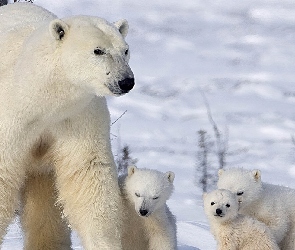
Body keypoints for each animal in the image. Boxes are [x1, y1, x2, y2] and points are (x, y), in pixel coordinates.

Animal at [0, 2, 134, 250]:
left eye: (125, 50)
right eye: (98, 50)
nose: (126, 81)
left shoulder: (78, 118)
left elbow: (87, 172)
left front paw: (103, 243)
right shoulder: (12, 118)